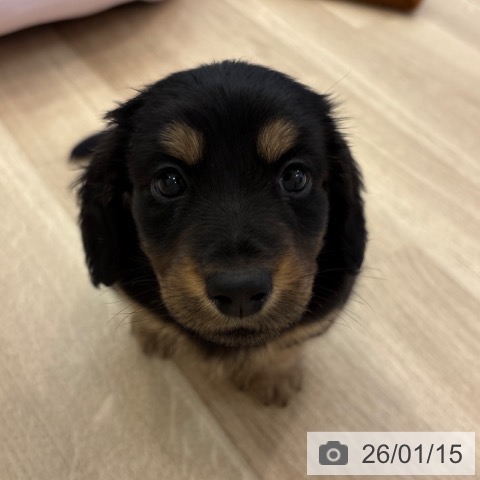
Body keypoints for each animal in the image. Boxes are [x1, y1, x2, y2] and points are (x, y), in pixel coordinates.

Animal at [71, 60, 367, 406]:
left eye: (295, 176)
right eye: (169, 181)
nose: (240, 292)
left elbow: (287, 343)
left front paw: (274, 376)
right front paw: (152, 331)